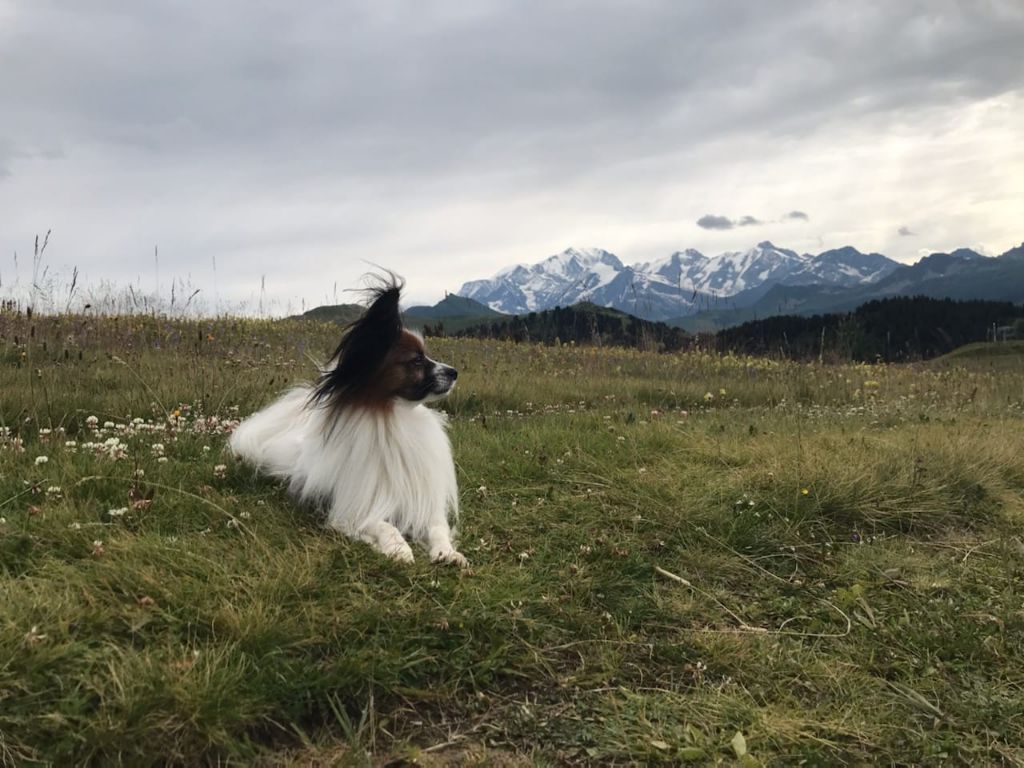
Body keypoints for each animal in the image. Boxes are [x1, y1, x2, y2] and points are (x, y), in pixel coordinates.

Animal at [230, 276, 466, 565]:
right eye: (417, 361)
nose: (454, 372)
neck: (396, 417)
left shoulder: (424, 501)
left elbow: (437, 527)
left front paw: (448, 551)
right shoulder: (356, 507)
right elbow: (382, 524)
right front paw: (398, 547)